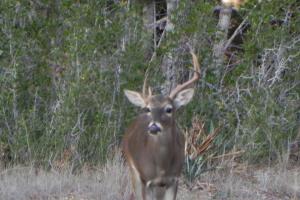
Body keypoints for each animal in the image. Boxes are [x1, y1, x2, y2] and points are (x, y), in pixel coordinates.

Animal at [120, 50, 200, 199]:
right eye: (148, 109)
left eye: (169, 109)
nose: (153, 127)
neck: (162, 168)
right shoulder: (146, 180)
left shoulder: (174, 179)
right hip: (133, 169)